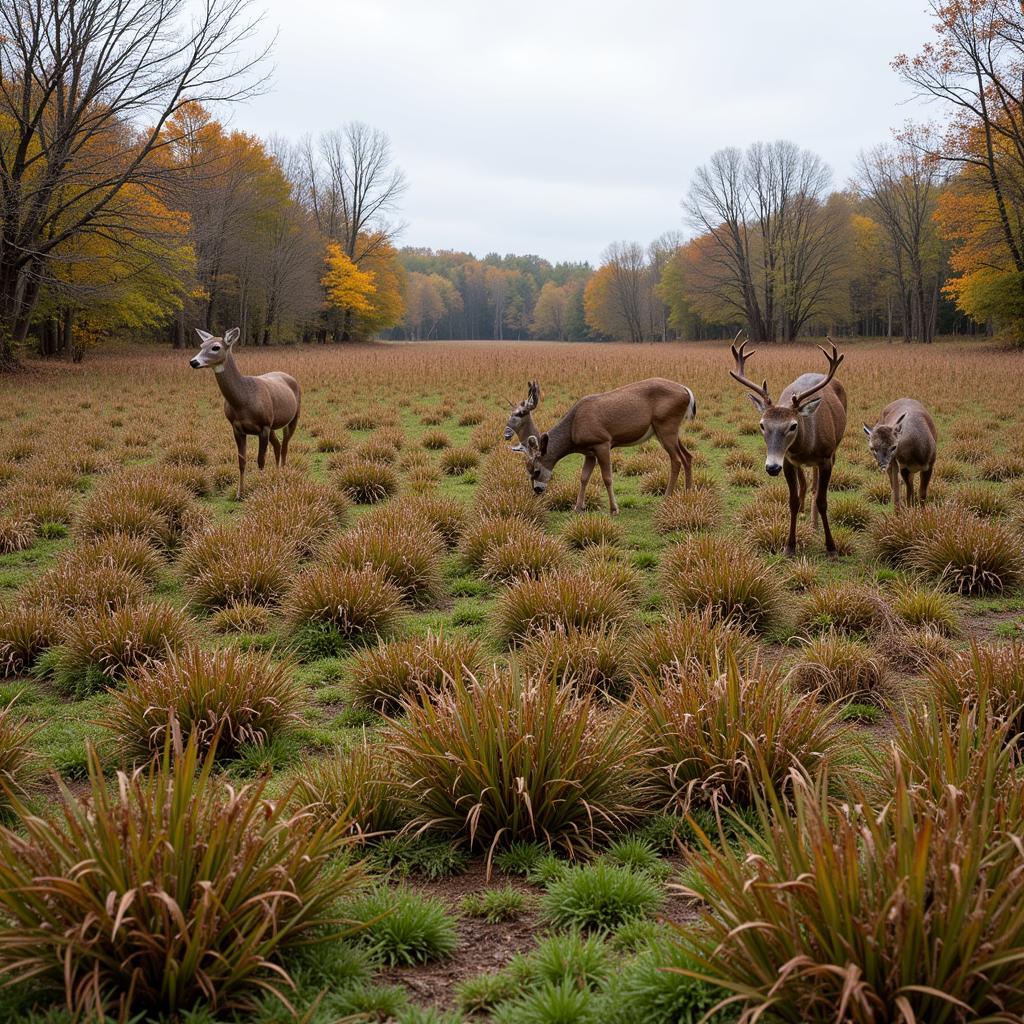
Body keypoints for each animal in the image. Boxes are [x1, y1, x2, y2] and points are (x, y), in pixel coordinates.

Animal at [190, 327, 299, 499]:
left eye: (216, 347)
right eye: (201, 345)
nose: (193, 362)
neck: (244, 401)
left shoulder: (264, 425)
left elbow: (261, 460)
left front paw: (260, 489)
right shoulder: (237, 427)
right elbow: (242, 461)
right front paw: (240, 494)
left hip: (293, 417)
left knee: (285, 446)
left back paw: (282, 475)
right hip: (273, 425)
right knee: (278, 445)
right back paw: (276, 474)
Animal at [516, 378, 700, 516]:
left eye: (536, 470)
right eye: (527, 469)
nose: (537, 490)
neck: (574, 426)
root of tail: (687, 392)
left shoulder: (603, 443)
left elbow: (607, 477)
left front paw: (614, 509)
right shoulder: (589, 452)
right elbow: (584, 477)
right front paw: (578, 508)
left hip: (666, 426)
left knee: (676, 460)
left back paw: (667, 497)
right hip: (669, 431)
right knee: (688, 456)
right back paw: (688, 494)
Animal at [729, 333, 847, 561]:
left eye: (793, 425)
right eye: (762, 424)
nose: (772, 467)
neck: (807, 446)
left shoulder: (826, 458)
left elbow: (823, 500)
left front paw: (831, 548)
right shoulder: (788, 460)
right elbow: (792, 501)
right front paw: (789, 546)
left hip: (834, 450)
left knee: (815, 488)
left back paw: (814, 523)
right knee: (805, 485)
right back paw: (805, 514)